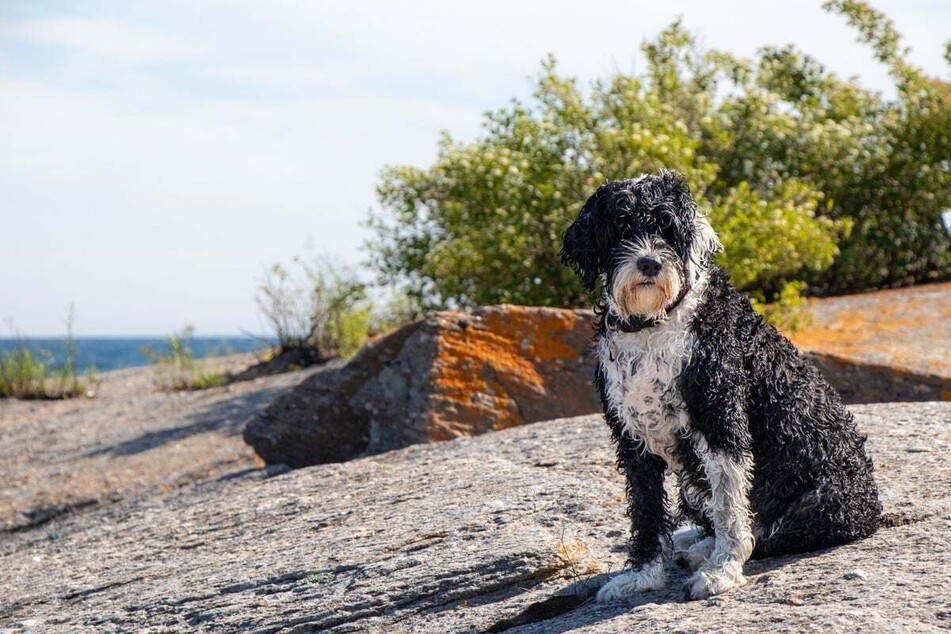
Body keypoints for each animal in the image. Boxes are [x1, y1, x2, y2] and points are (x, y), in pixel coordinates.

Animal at [560, 170, 880, 600]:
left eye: (668, 228)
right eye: (621, 227)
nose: (649, 263)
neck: (656, 321)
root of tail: (871, 506)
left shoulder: (719, 417)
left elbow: (729, 506)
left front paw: (722, 571)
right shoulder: (630, 437)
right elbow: (646, 510)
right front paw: (641, 575)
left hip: (825, 500)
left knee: (769, 533)